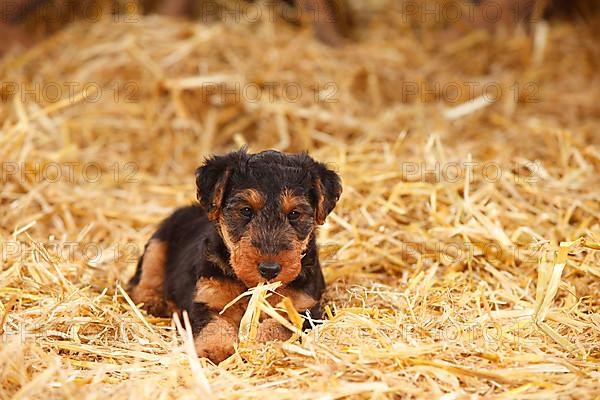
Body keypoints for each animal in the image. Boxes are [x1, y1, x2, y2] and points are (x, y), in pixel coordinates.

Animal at [126, 149, 342, 362]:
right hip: (157, 244)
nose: (269, 269)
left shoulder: (305, 309)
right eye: (246, 210)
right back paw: (155, 302)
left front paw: (263, 345)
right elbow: (214, 325)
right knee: (142, 282)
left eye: (294, 214)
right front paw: (215, 349)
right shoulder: (206, 300)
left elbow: (280, 325)